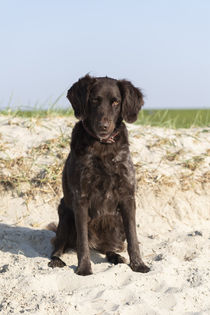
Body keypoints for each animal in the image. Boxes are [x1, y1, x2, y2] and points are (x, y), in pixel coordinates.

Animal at [48, 74, 149, 276]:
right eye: (95, 100)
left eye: (116, 102)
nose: (103, 126)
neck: (103, 146)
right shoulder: (80, 198)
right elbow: (82, 242)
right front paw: (84, 268)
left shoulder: (127, 197)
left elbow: (133, 238)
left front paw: (138, 264)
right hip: (65, 212)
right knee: (59, 245)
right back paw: (56, 260)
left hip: (117, 222)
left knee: (109, 247)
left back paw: (115, 256)